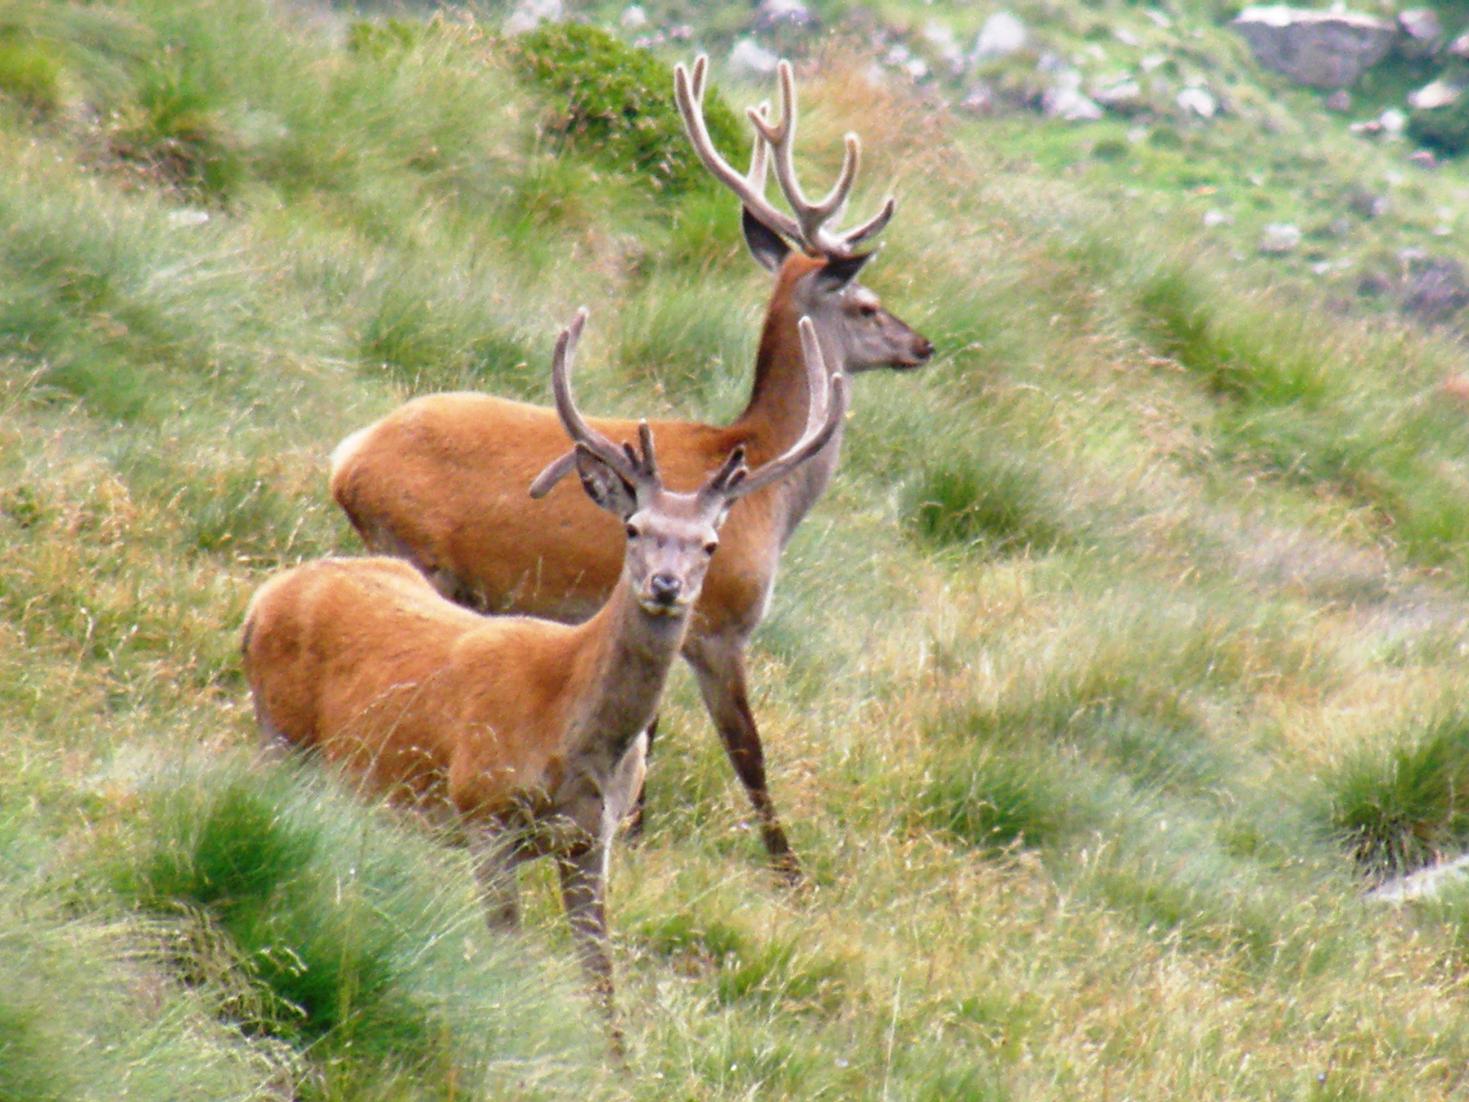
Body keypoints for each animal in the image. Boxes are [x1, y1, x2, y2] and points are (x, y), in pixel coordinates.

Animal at [239, 311, 840, 1052]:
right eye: (633, 527)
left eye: (710, 544)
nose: (665, 586)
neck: (571, 736)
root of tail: (263, 599)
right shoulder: (484, 814)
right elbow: (509, 949)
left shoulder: (590, 844)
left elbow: (601, 981)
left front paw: (616, 1064)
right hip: (279, 735)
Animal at [329, 56, 934, 887]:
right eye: (869, 304)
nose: (924, 345)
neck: (768, 487)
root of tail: (346, 458)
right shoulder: (721, 623)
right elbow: (746, 751)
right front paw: (788, 872)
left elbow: (653, 738)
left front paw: (638, 832)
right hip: (419, 550)